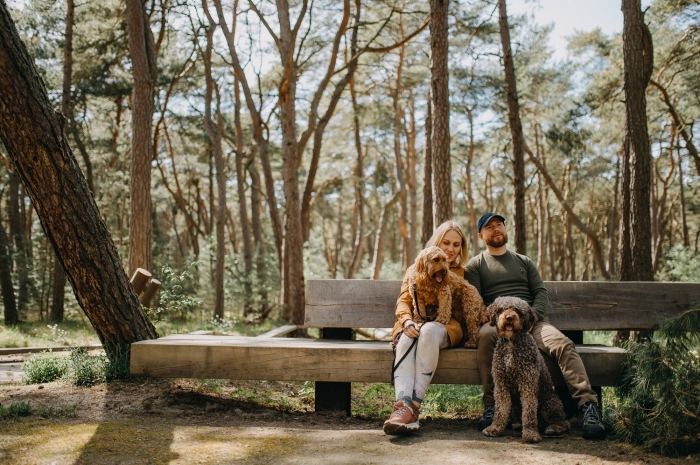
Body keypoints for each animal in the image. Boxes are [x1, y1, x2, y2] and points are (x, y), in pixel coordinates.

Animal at [484, 298, 572, 442]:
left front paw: (530, 434)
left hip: (549, 404)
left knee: (563, 422)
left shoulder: (528, 384)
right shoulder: (501, 385)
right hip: (515, 404)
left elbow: (529, 412)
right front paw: (495, 428)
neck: (511, 343)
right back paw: (518, 424)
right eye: (501, 309)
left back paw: (554, 428)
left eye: (518, 311)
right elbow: (501, 409)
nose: (509, 317)